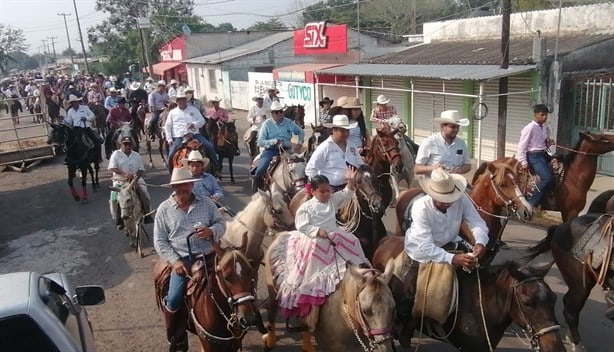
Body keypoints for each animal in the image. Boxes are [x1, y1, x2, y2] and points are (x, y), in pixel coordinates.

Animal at [262, 231, 398, 352]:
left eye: (393, 308)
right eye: (365, 311)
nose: (385, 348)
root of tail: (281, 234)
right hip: (273, 291)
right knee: (272, 313)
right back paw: (270, 342)